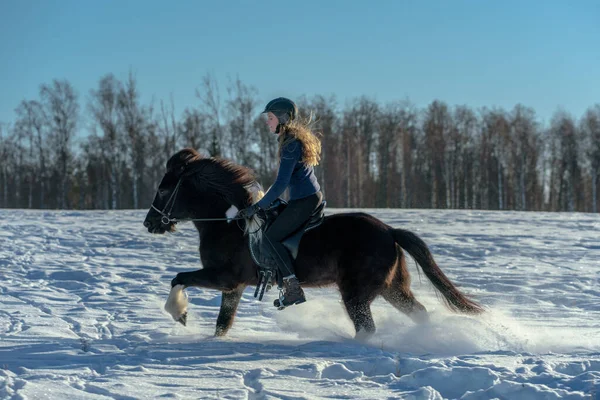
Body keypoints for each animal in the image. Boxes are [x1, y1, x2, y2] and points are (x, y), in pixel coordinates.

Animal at [144, 148, 482, 338]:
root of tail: (389, 230)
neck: (228, 223)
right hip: (392, 288)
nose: (149, 223)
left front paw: (180, 314)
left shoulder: (224, 277)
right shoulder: (233, 288)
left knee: (367, 327)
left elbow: (179, 278)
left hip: (356, 294)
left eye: (163, 190)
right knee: (419, 312)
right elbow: (222, 323)